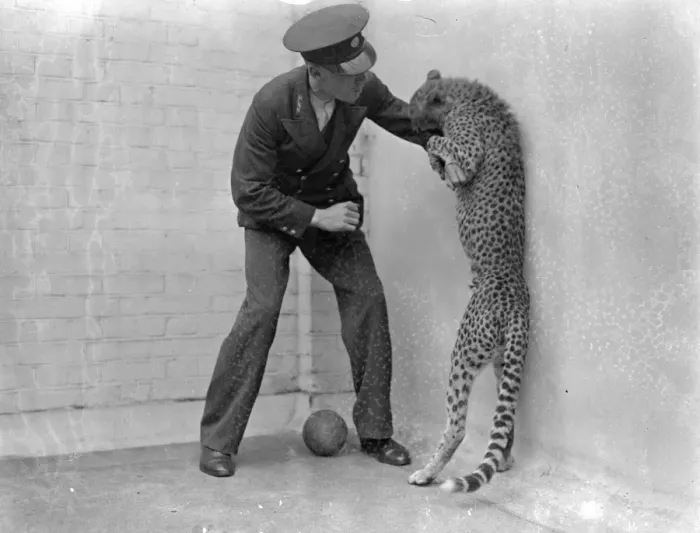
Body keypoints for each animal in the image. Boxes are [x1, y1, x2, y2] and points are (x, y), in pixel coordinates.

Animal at [406, 69, 531, 494]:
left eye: (413, 105)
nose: (407, 120)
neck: (465, 95)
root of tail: (516, 300)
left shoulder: (466, 151)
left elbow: (444, 148)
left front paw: (434, 153)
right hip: (503, 361)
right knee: (506, 420)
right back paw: (504, 460)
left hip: (464, 352)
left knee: (457, 426)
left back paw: (428, 472)